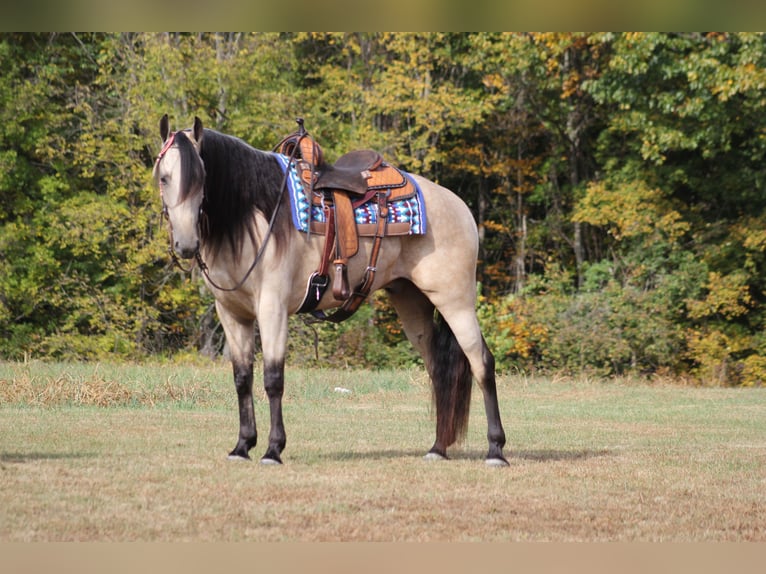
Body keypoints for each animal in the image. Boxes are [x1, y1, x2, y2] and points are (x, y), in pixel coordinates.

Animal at [152, 116, 510, 468]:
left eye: (201, 178)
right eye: (163, 178)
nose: (186, 245)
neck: (253, 219)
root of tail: (459, 205)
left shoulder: (273, 309)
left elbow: (273, 379)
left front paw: (273, 450)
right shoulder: (231, 313)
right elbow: (242, 379)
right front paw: (242, 446)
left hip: (455, 301)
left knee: (482, 363)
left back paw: (495, 450)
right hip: (412, 303)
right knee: (438, 370)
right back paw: (437, 448)